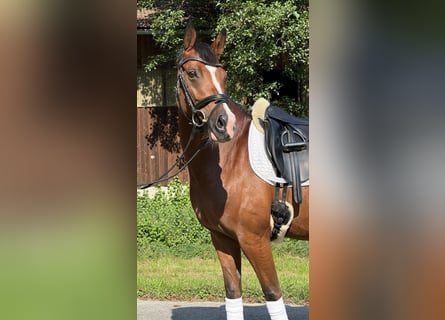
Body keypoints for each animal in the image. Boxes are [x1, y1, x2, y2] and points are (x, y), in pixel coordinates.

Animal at [175, 23, 306, 320]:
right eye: (193, 73)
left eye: (223, 74)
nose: (225, 124)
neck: (233, 160)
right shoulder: (222, 238)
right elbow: (233, 294)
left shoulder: (254, 239)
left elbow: (273, 295)